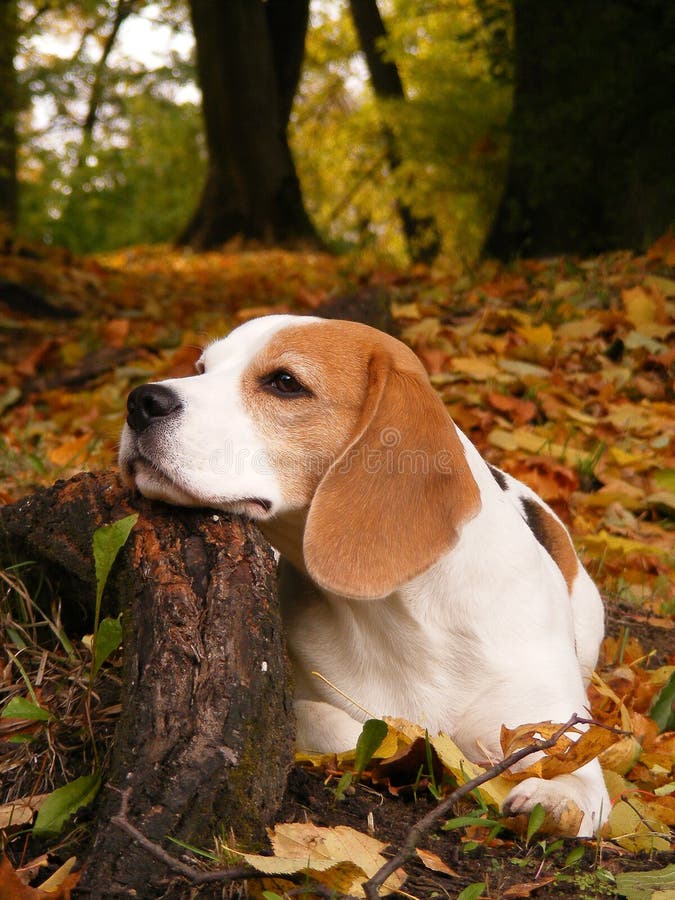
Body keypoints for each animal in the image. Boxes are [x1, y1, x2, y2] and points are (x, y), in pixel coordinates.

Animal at [119, 314, 608, 836]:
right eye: (202, 368)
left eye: (285, 383)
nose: (141, 400)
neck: (400, 614)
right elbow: (344, 725)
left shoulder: (551, 728)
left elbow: (572, 779)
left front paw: (554, 799)